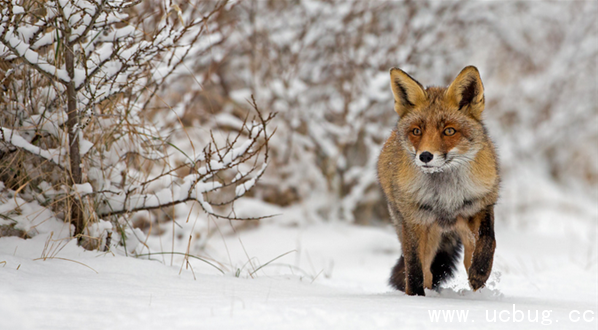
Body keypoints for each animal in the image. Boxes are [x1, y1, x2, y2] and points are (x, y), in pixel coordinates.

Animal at [380, 65, 502, 296]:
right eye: (416, 131)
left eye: (449, 131)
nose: (425, 156)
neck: (446, 197)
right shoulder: (415, 220)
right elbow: (414, 269)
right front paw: (415, 297)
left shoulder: (479, 205)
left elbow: (488, 240)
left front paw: (480, 272)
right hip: (424, 235)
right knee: (426, 272)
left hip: (463, 233)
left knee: (467, 259)